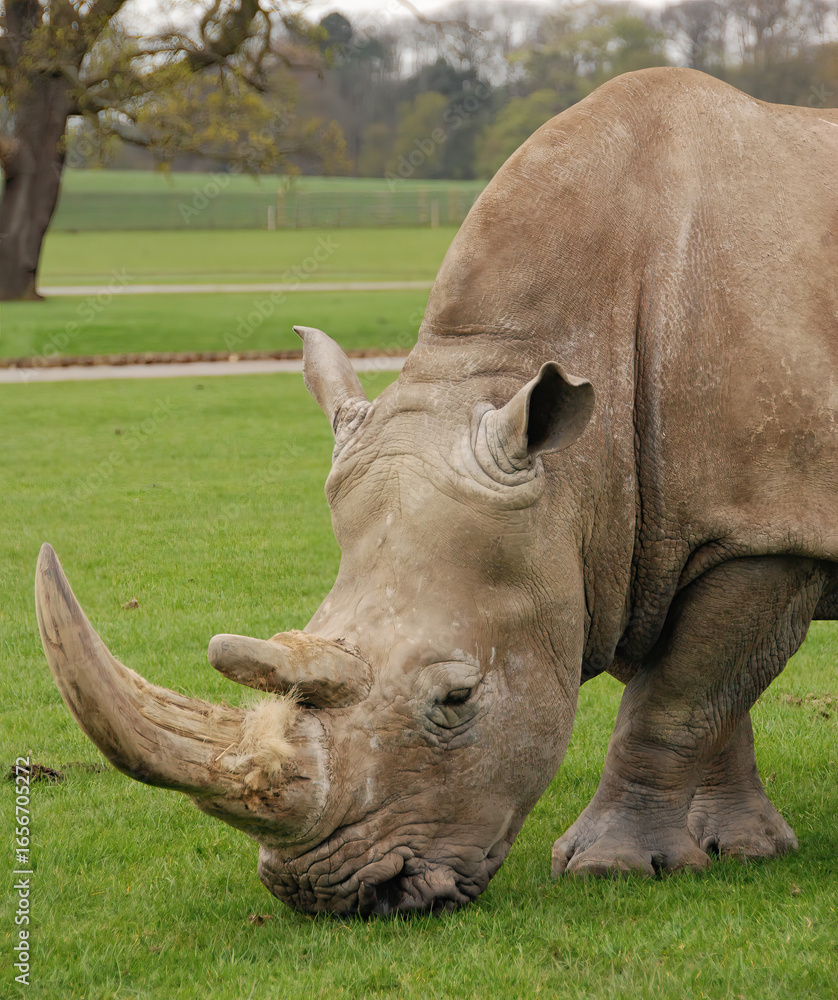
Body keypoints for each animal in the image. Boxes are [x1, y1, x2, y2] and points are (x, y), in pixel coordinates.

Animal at [36, 67, 838, 916]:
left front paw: (613, 867)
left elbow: (677, 700)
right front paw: (742, 849)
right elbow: (708, 697)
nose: (333, 895)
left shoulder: (761, 529)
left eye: (456, 700)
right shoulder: (623, 538)